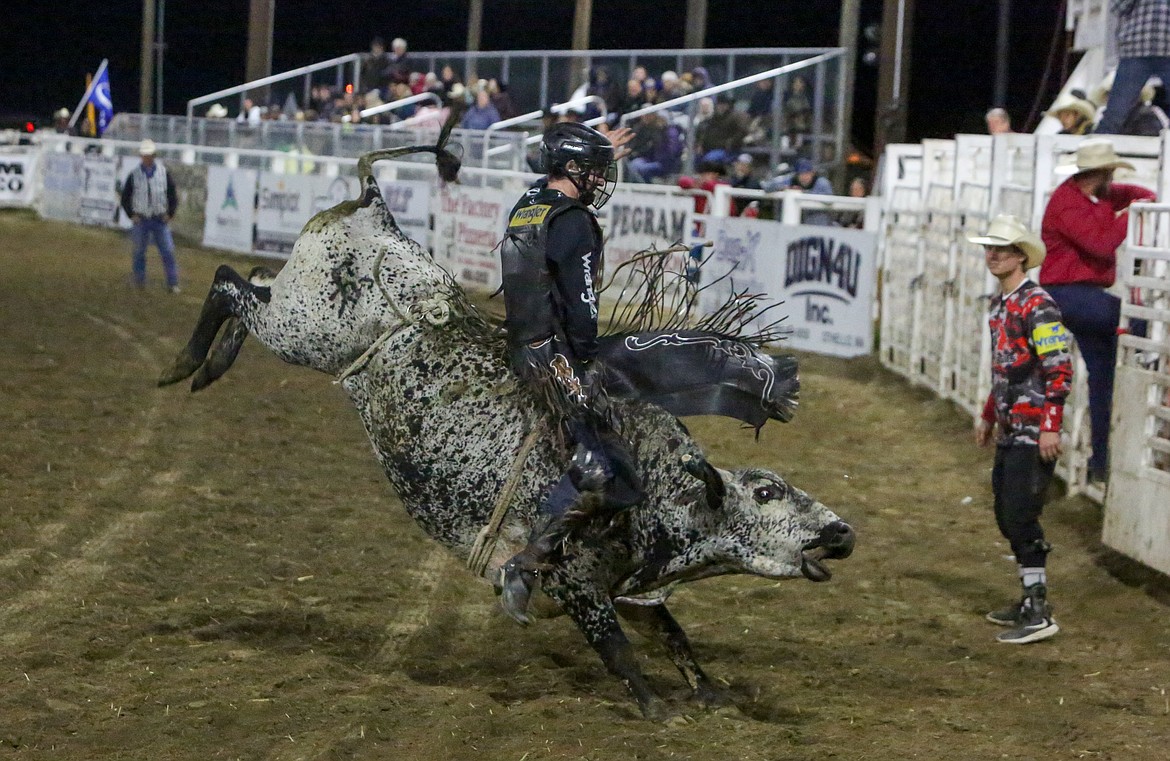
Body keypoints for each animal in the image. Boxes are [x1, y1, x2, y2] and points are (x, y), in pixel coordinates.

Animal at [160, 131, 856, 716]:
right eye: (766, 492)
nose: (842, 530)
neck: (659, 492)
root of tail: (375, 209)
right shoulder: (578, 584)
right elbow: (616, 645)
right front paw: (657, 707)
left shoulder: (631, 585)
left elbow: (674, 633)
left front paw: (711, 693)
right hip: (303, 330)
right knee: (227, 282)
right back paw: (189, 364)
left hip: (294, 308)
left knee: (251, 277)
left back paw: (207, 363)